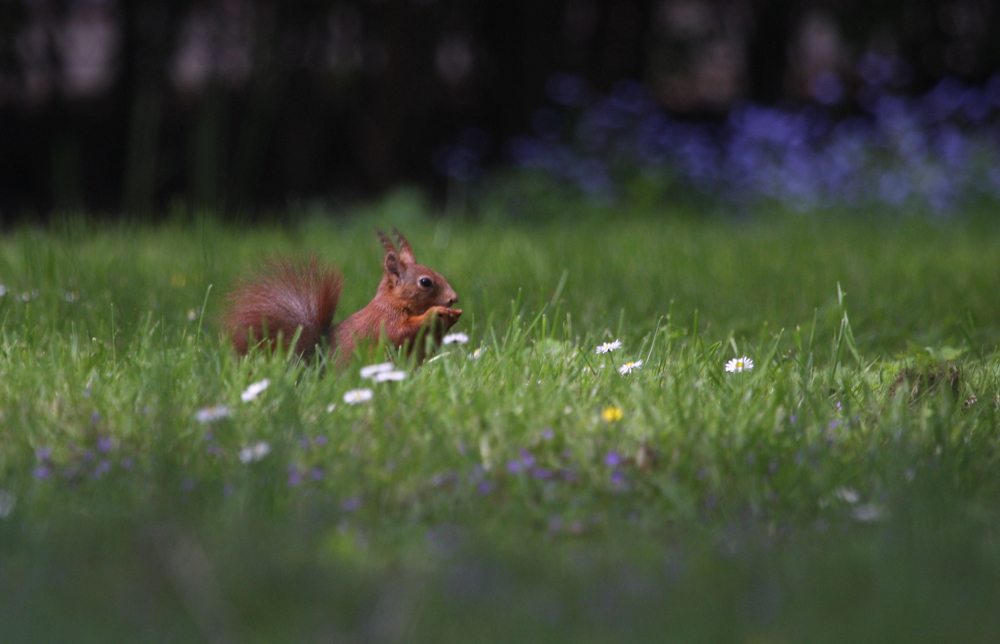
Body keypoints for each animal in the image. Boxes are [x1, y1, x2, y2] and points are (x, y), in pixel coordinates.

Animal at [223, 229, 460, 364]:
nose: (453, 298)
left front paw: (452, 315)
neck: (395, 301)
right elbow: (400, 332)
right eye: (425, 282)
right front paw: (435, 313)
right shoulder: (384, 320)